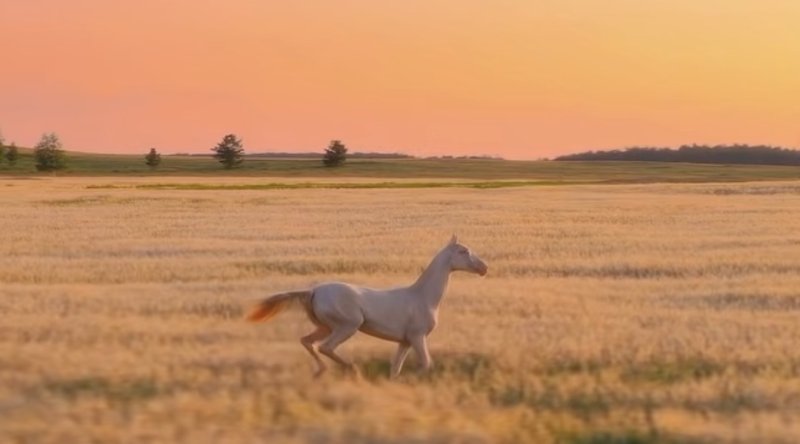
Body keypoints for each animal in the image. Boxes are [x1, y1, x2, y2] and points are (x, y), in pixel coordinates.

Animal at [246, 235, 488, 378]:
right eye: (464, 251)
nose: (484, 268)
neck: (423, 297)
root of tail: (313, 291)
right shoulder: (418, 337)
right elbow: (426, 363)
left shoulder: (405, 341)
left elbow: (395, 368)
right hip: (348, 325)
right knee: (326, 347)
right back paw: (351, 368)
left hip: (325, 326)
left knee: (307, 341)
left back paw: (321, 371)